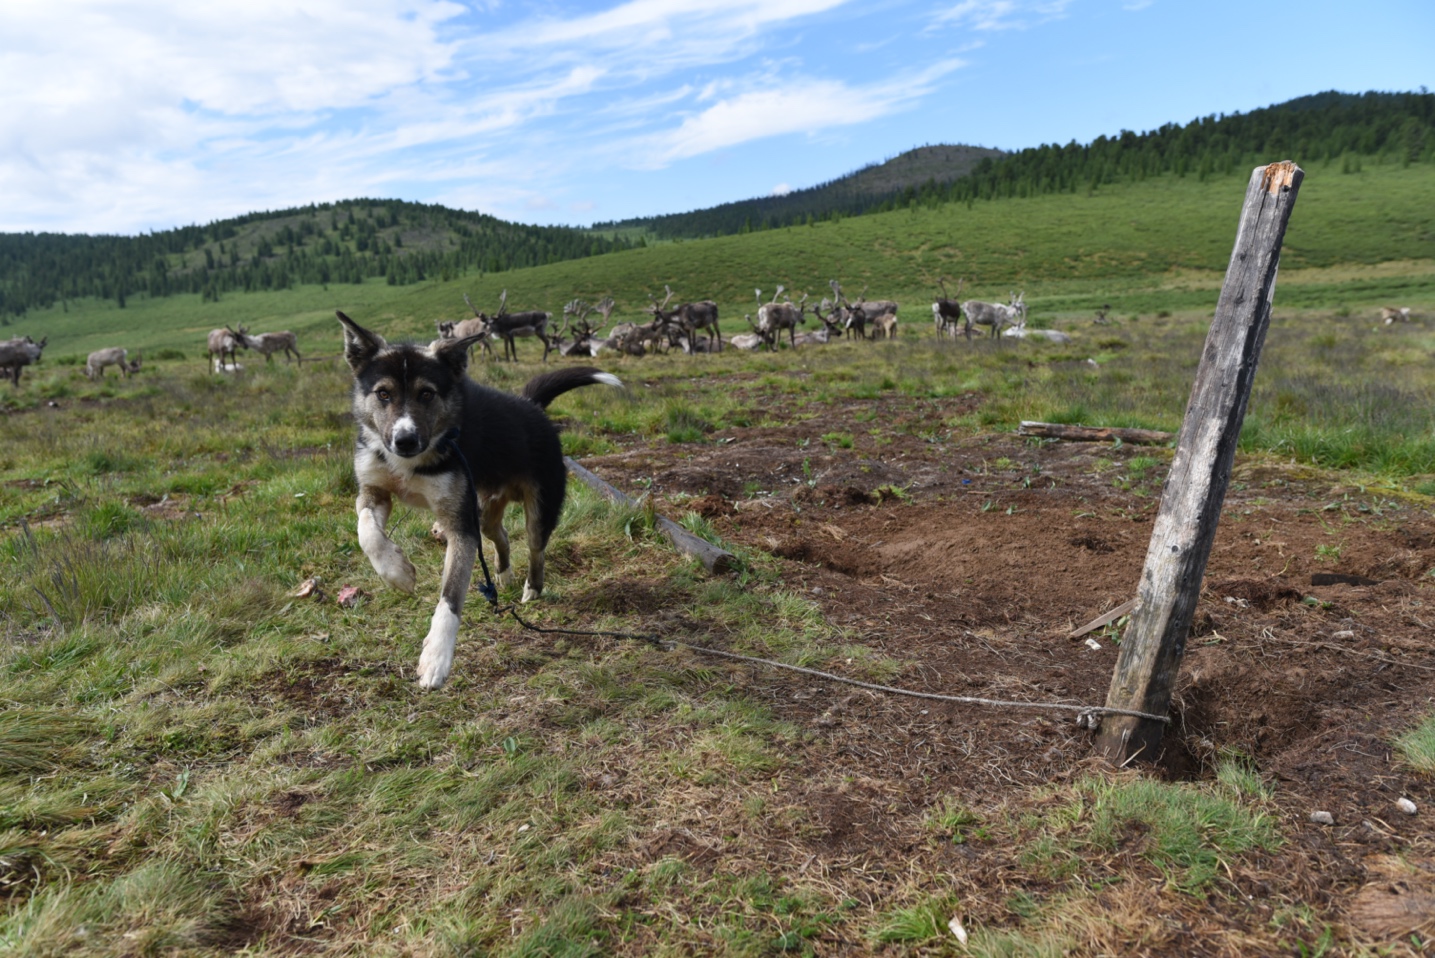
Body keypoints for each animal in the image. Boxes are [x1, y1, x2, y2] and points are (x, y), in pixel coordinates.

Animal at [341, 312, 628, 688]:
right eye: (383, 393)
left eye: (427, 394)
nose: (405, 440)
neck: (417, 458)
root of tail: (530, 406)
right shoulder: (374, 491)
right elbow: (367, 533)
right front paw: (397, 573)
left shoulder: (460, 527)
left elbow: (450, 597)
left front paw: (436, 657)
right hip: (485, 509)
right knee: (500, 536)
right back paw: (502, 576)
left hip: (538, 508)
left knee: (536, 548)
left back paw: (531, 590)